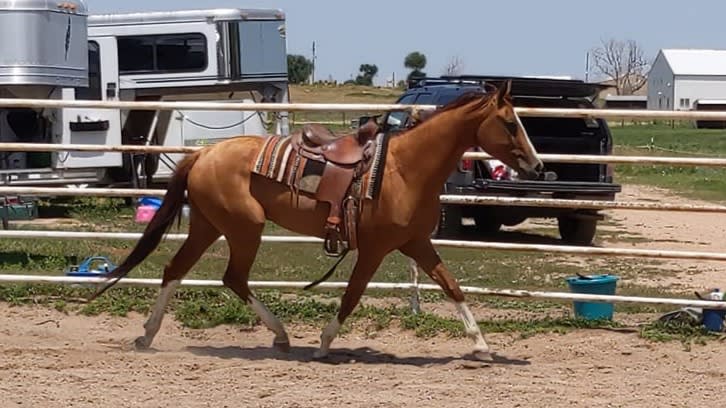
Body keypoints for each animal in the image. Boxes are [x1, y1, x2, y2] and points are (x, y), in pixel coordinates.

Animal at [90, 80, 543, 361]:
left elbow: (452, 286)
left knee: (176, 269)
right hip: (243, 228)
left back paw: (148, 334)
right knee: (232, 277)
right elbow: (352, 295)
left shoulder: (417, 243)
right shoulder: (375, 249)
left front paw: (482, 345)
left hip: (209, 224)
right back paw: (280, 334)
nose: (537, 165)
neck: (404, 169)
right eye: (510, 123)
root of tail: (204, 152)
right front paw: (325, 344)